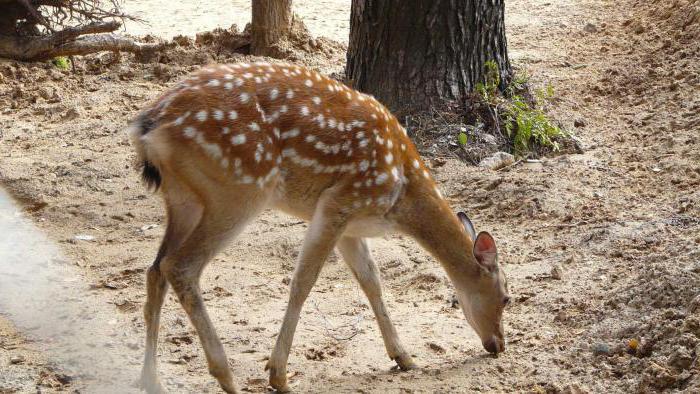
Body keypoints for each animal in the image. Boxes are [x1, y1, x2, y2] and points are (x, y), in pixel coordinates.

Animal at [127, 61, 508, 394]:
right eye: (506, 297)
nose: (499, 345)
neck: (402, 196)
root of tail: (148, 126)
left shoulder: (351, 225)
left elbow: (372, 281)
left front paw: (404, 357)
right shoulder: (338, 201)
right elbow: (303, 281)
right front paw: (278, 375)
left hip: (183, 198)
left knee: (155, 269)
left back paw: (151, 379)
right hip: (239, 189)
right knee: (181, 266)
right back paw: (227, 377)